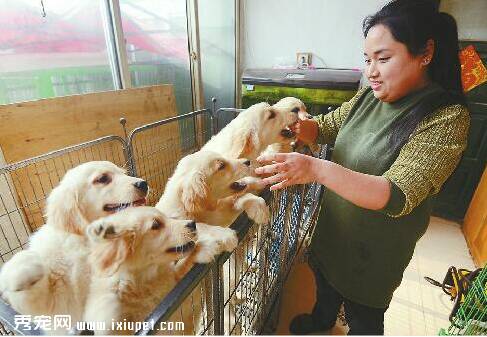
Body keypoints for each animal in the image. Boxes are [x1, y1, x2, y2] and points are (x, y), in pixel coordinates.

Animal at [0, 160, 148, 334]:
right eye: (103, 178)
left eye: (124, 173)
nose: (144, 184)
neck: (87, 242)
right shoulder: (59, 307)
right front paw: (24, 268)